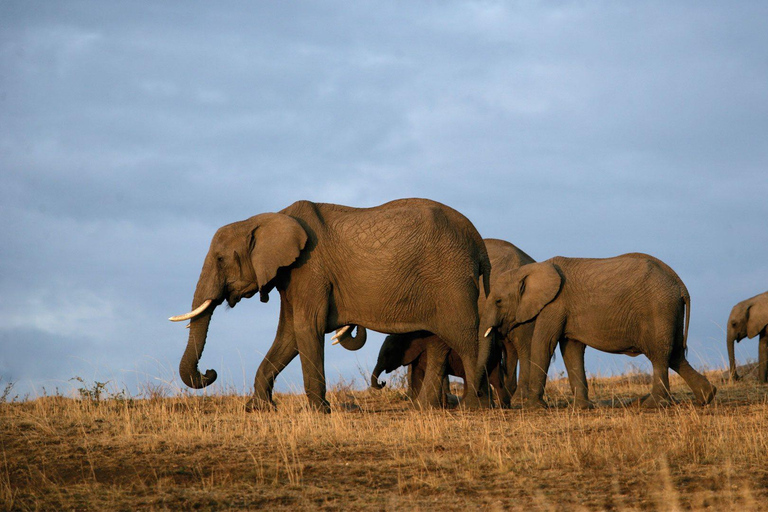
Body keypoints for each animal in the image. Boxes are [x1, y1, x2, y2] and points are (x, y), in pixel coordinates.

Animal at [170, 198, 492, 414]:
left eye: (220, 259)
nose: (209, 373)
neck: (268, 218)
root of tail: (479, 243)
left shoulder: (309, 268)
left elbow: (306, 328)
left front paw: (318, 410)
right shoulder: (291, 274)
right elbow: (289, 335)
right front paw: (258, 408)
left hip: (451, 279)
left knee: (465, 338)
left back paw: (474, 406)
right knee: (438, 342)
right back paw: (435, 408)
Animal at [484, 254, 716, 410]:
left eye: (498, 301)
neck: (531, 268)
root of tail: (681, 285)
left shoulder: (555, 304)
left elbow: (543, 344)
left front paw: (533, 407)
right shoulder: (565, 310)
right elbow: (572, 350)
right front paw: (581, 408)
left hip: (659, 309)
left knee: (660, 355)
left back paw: (651, 405)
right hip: (670, 311)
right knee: (676, 355)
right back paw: (706, 397)